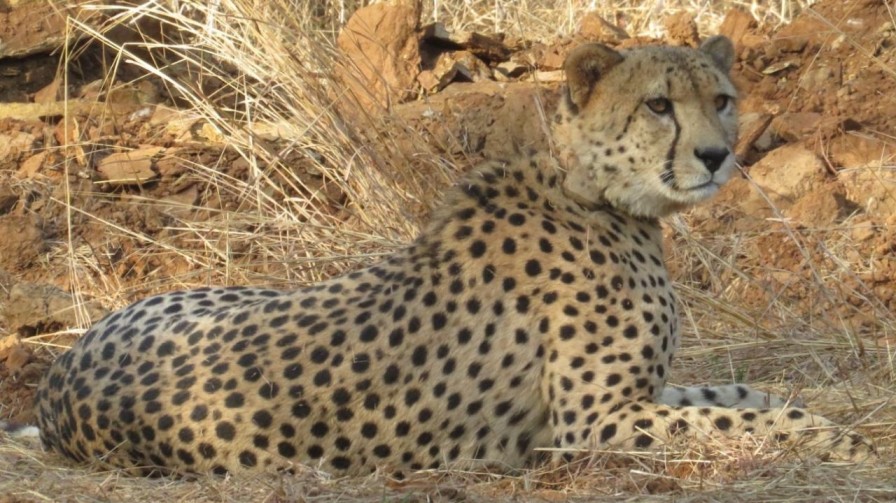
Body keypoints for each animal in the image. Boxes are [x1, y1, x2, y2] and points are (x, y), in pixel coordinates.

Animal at [33, 35, 872, 478]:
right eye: (658, 105)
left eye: (721, 98)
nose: (716, 155)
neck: (597, 194)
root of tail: (54, 384)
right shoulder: (590, 421)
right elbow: (734, 419)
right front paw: (840, 440)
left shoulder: (641, 394)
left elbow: (743, 394)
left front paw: (826, 419)